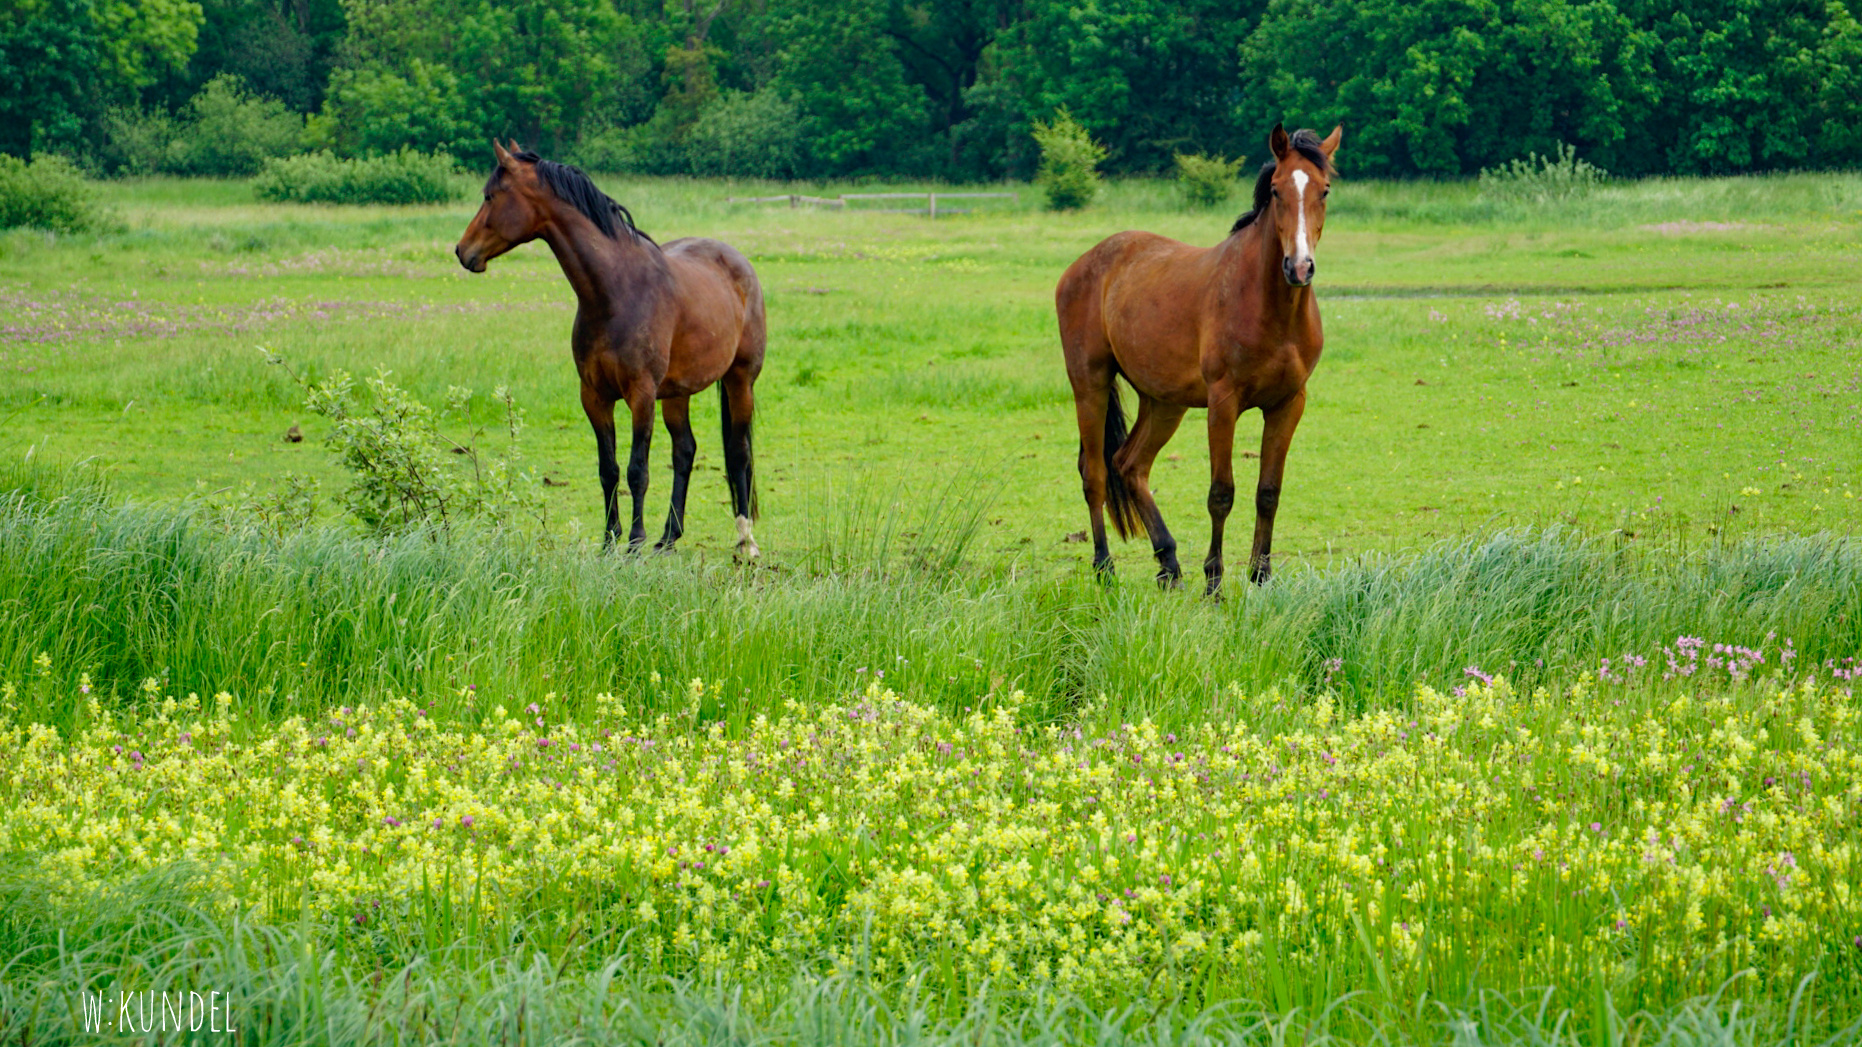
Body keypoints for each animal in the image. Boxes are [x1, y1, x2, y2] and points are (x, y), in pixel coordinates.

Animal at [454, 144, 767, 562]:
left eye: (490, 197)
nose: (462, 251)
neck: (615, 292)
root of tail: (738, 261)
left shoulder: (641, 394)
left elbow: (637, 469)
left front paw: (633, 540)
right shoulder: (594, 395)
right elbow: (609, 468)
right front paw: (608, 540)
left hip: (739, 380)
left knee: (738, 453)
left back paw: (745, 541)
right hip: (677, 392)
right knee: (684, 451)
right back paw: (668, 538)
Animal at [1065, 122, 1340, 592]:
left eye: (1323, 190)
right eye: (1277, 190)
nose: (1299, 267)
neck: (1271, 308)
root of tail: (1083, 264)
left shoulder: (1288, 404)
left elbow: (1269, 491)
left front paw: (1260, 574)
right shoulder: (1223, 403)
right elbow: (1221, 493)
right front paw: (1214, 580)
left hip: (1163, 402)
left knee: (1130, 464)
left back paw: (1169, 563)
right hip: (1091, 385)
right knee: (1096, 473)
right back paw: (1105, 567)